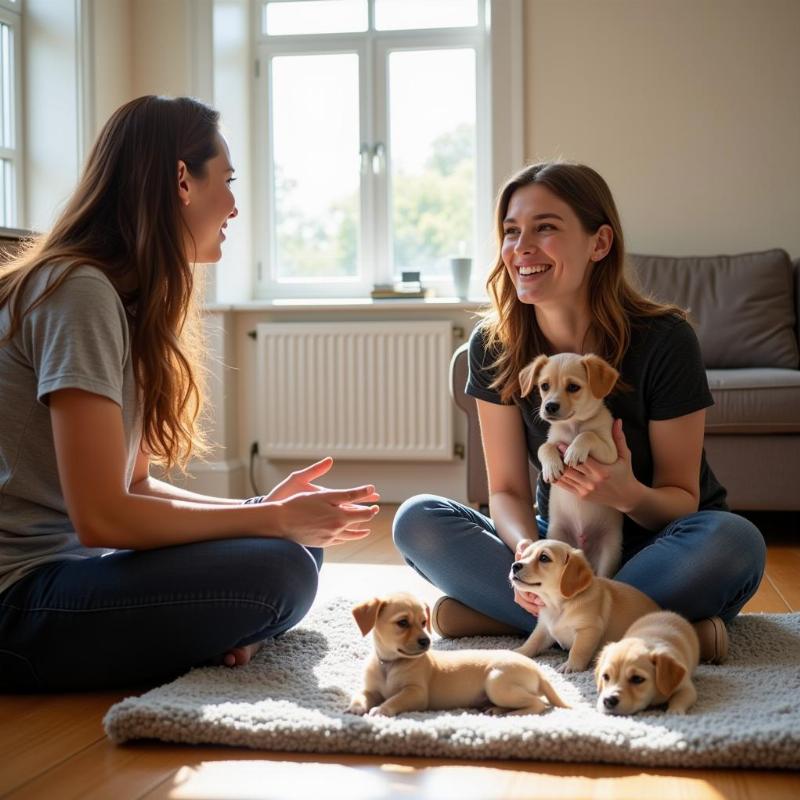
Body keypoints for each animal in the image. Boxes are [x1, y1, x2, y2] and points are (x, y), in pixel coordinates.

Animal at [346, 592, 568, 716]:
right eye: (402, 623)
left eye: (424, 622)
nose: (426, 641)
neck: (390, 663)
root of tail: (539, 672)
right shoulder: (370, 690)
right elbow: (361, 695)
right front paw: (355, 707)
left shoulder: (416, 693)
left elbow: (395, 699)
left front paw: (381, 709)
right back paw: (496, 710)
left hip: (496, 682)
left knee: (538, 704)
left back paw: (513, 714)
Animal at [510, 536, 660, 676]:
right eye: (524, 556)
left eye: (544, 558)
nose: (515, 565)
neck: (557, 605)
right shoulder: (544, 628)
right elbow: (532, 641)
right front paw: (519, 652)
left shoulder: (588, 629)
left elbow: (578, 650)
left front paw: (571, 666)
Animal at [520, 354, 624, 580]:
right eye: (544, 386)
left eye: (573, 387)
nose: (549, 406)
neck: (573, 425)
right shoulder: (552, 439)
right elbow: (545, 446)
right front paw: (551, 467)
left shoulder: (610, 453)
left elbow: (588, 434)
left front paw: (575, 451)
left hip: (610, 551)